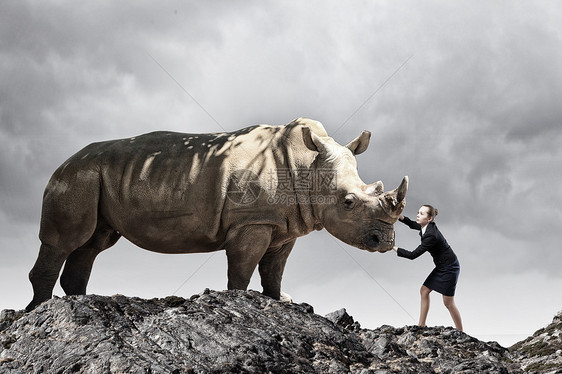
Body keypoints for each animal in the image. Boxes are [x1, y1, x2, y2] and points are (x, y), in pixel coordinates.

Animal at [25, 118, 406, 312]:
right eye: (348, 202)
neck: (307, 165)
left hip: (95, 177)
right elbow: (243, 266)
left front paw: (282, 302)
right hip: (77, 176)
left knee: (92, 243)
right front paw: (240, 301)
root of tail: (68, 159)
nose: (385, 241)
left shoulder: (284, 225)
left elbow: (274, 269)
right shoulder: (252, 221)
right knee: (65, 240)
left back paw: (78, 303)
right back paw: (38, 311)